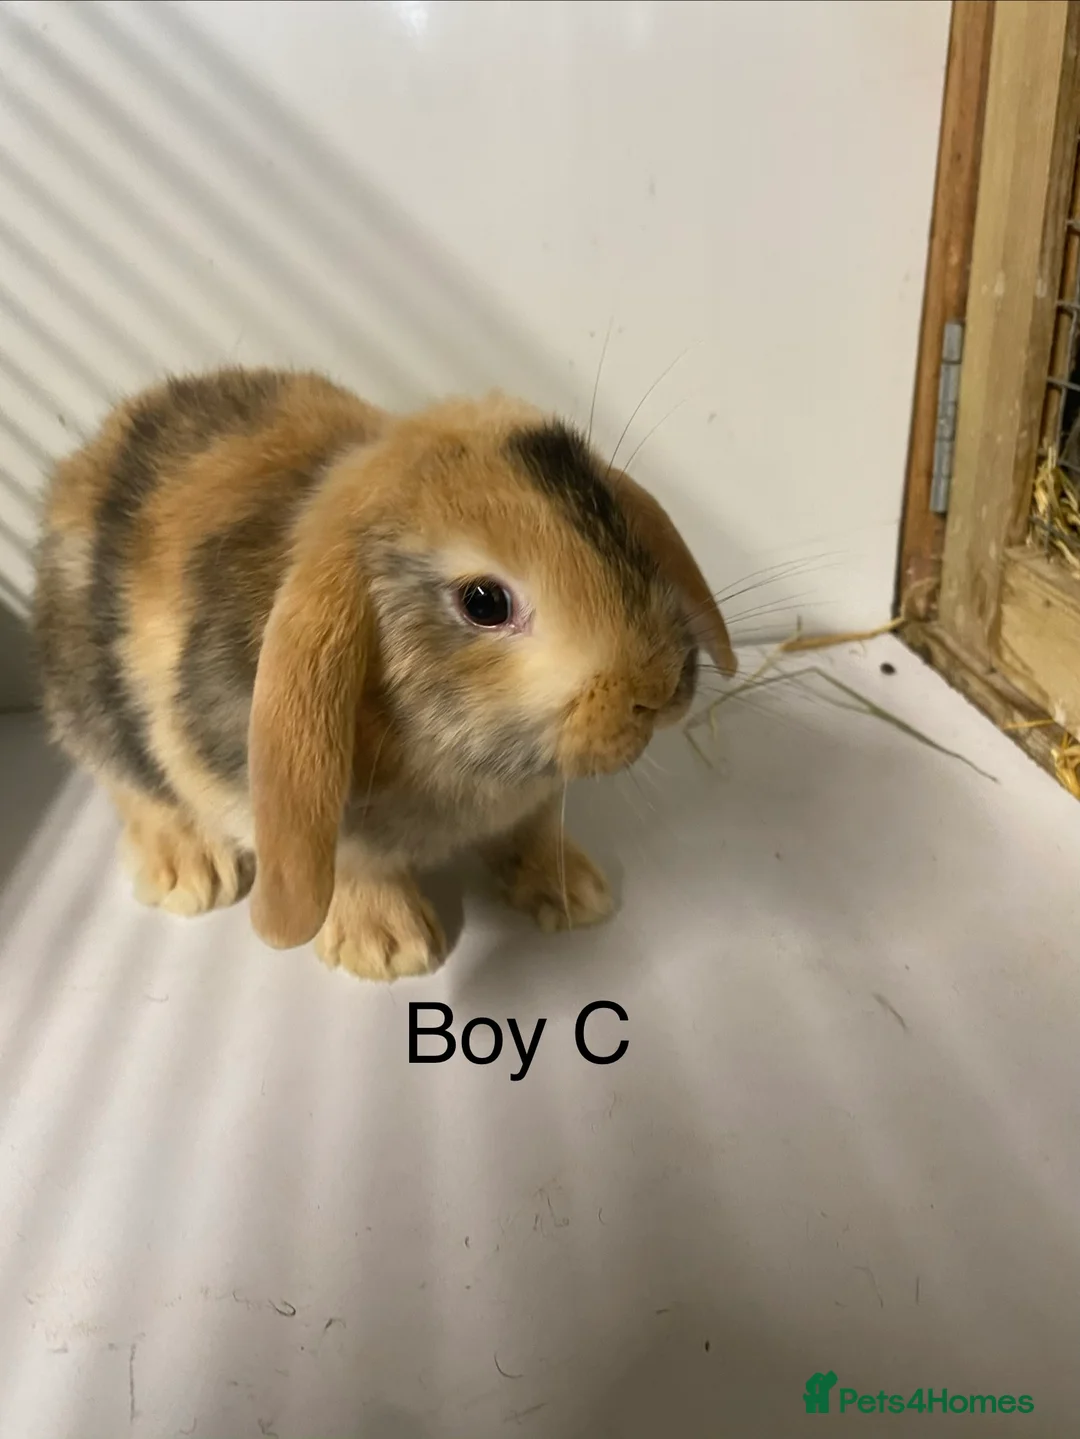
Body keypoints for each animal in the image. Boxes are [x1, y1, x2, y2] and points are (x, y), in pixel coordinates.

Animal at [33, 367, 736, 981]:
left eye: (615, 525)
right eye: (485, 602)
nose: (657, 687)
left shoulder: (532, 802)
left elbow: (534, 829)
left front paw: (576, 896)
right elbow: (355, 864)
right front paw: (389, 952)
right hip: (91, 705)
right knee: (129, 783)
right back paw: (192, 874)